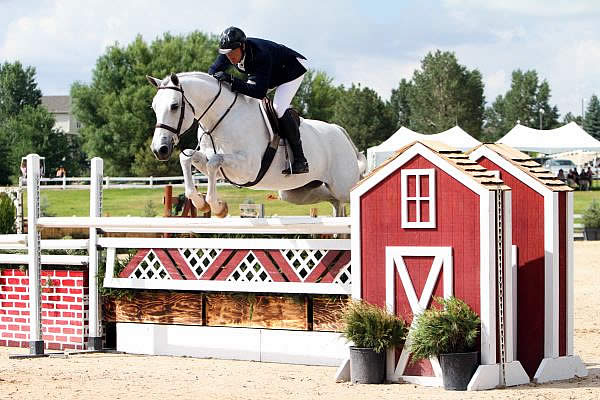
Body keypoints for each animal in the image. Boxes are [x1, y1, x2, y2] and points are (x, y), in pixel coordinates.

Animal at [148, 72, 368, 216]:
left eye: (174, 106)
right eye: (154, 107)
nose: (160, 149)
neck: (219, 119)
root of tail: (339, 130)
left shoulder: (247, 169)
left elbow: (214, 162)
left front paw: (216, 207)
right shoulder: (215, 163)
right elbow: (187, 157)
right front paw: (201, 203)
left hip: (343, 185)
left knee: (345, 196)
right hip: (297, 192)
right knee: (334, 201)